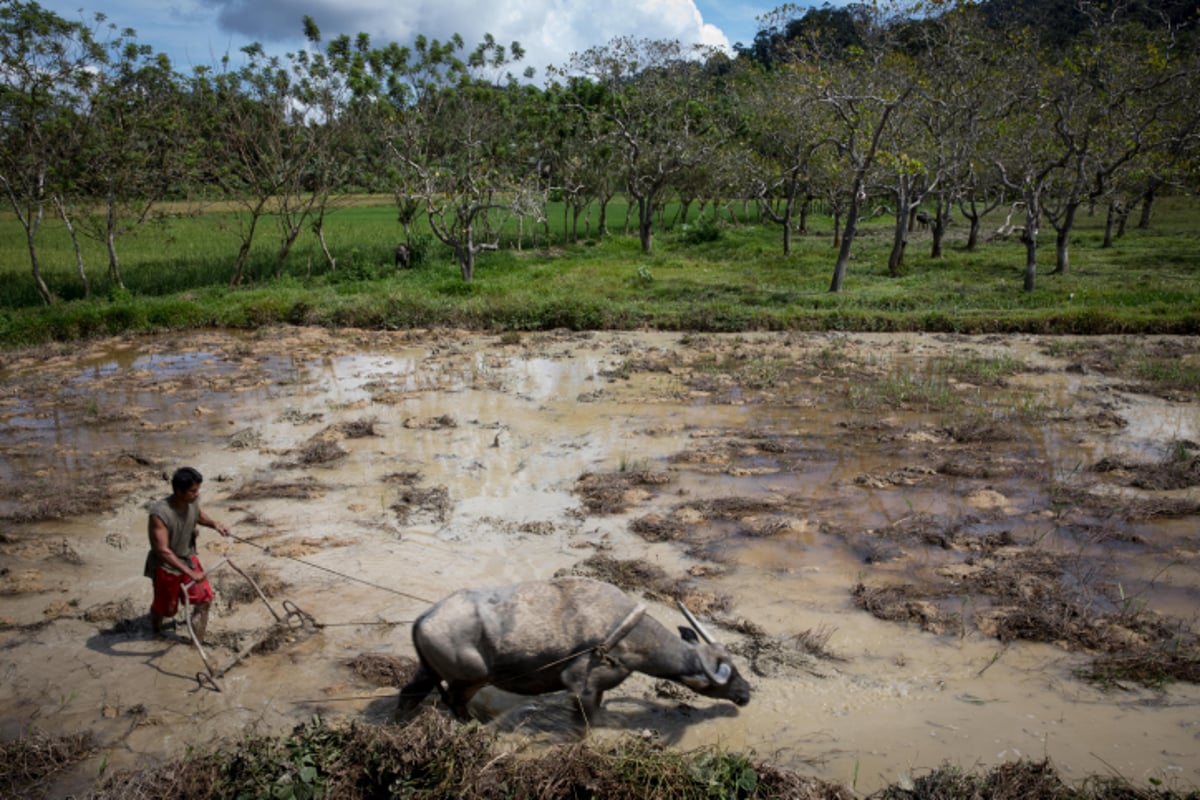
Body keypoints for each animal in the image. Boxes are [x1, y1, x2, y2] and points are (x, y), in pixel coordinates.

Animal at [396, 578, 748, 724]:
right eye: (727, 675)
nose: (746, 692)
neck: (627, 630)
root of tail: (424, 618)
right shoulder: (581, 687)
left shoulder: (598, 689)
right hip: (469, 681)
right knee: (456, 704)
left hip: (427, 672)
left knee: (408, 693)